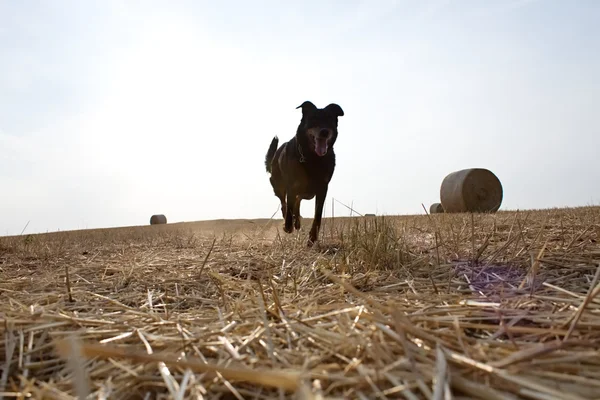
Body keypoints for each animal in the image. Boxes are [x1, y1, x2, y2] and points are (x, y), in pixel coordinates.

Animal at [264, 100, 344, 247]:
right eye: (313, 119)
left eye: (329, 119)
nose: (324, 132)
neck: (313, 158)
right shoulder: (292, 185)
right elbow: (289, 207)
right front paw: (288, 226)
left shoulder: (322, 188)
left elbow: (317, 215)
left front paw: (312, 238)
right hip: (279, 186)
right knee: (284, 203)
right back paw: (290, 222)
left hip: (307, 193)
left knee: (297, 201)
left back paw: (297, 221)